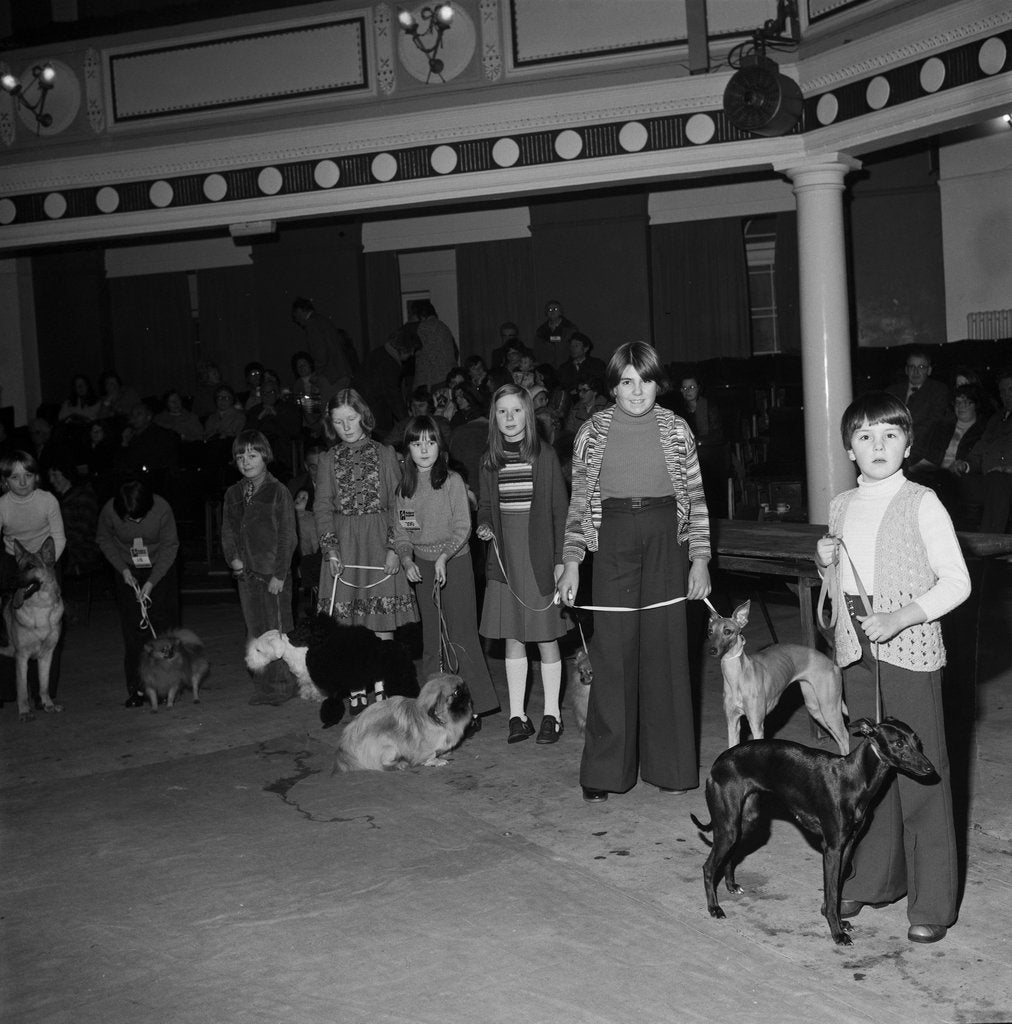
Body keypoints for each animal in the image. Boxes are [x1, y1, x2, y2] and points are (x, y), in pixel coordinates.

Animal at [333, 671, 473, 770]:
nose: (466, 689)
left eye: (463, 686)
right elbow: (429, 755)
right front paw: (436, 761)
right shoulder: (425, 747)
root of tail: (345, 749)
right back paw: (400, 764)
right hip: (390, 746)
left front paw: (444, 754)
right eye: (456, 692)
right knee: (383, 764)